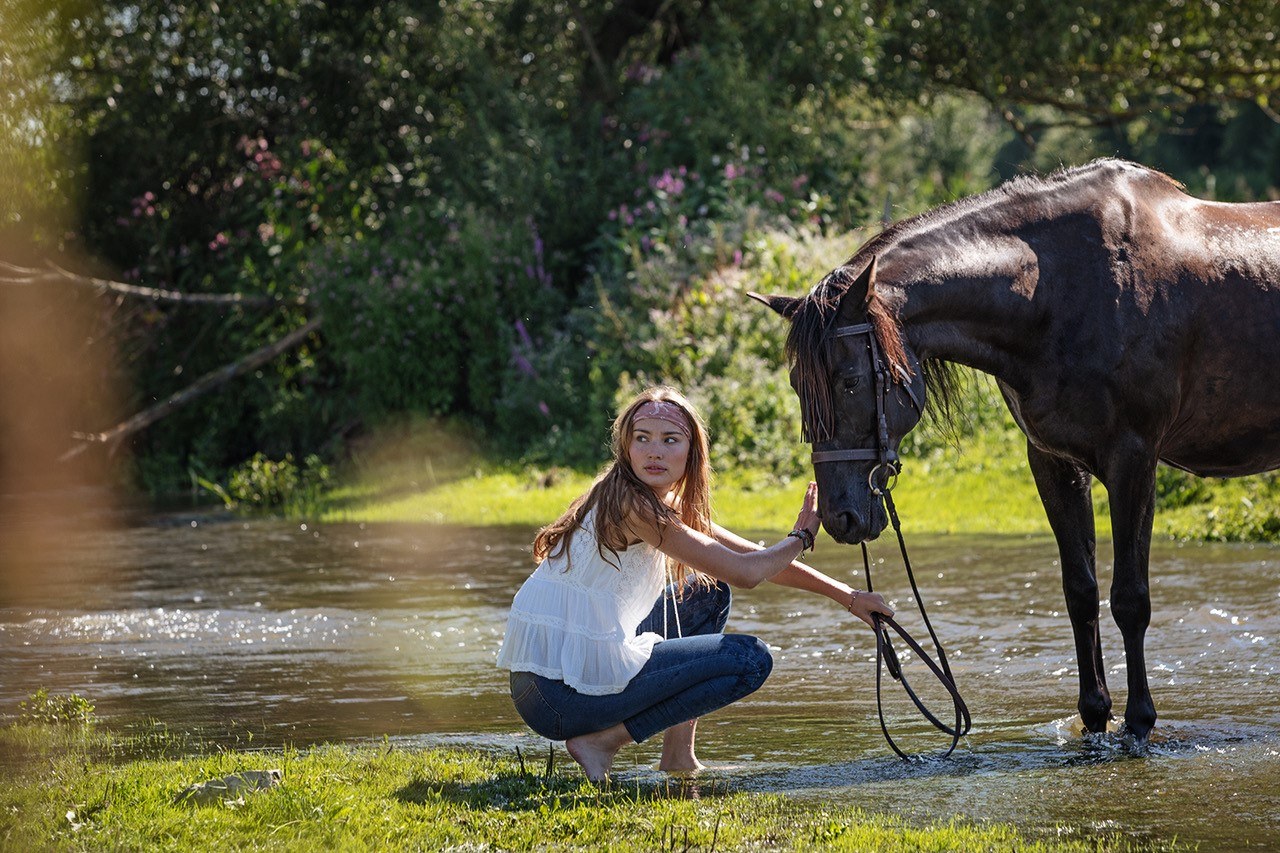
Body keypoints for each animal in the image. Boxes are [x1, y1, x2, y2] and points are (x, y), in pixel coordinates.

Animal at [747, 157, 1280, 737]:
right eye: (799, 386)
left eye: (847, 381)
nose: (840, 518)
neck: (1062, 292)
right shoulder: (1053, 463)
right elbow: (1080, 593)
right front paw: (1095, 715)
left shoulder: (1133, 460)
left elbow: (1129, 599)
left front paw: (1139, 722)